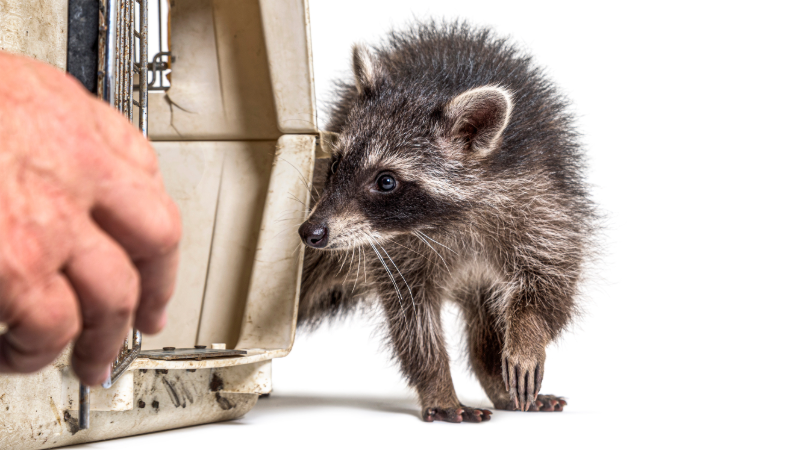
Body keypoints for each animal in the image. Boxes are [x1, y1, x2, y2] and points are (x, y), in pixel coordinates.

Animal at [296, 20, 592, 422]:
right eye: (337, 164)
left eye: (386, 181)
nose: (310, 232)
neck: (446, 218)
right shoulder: (393, 250)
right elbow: (413, 320)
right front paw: (437, 384)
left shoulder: (542, 195)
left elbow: (553, 276)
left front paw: (528, 335)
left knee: (488, 320)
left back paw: (497, 380)